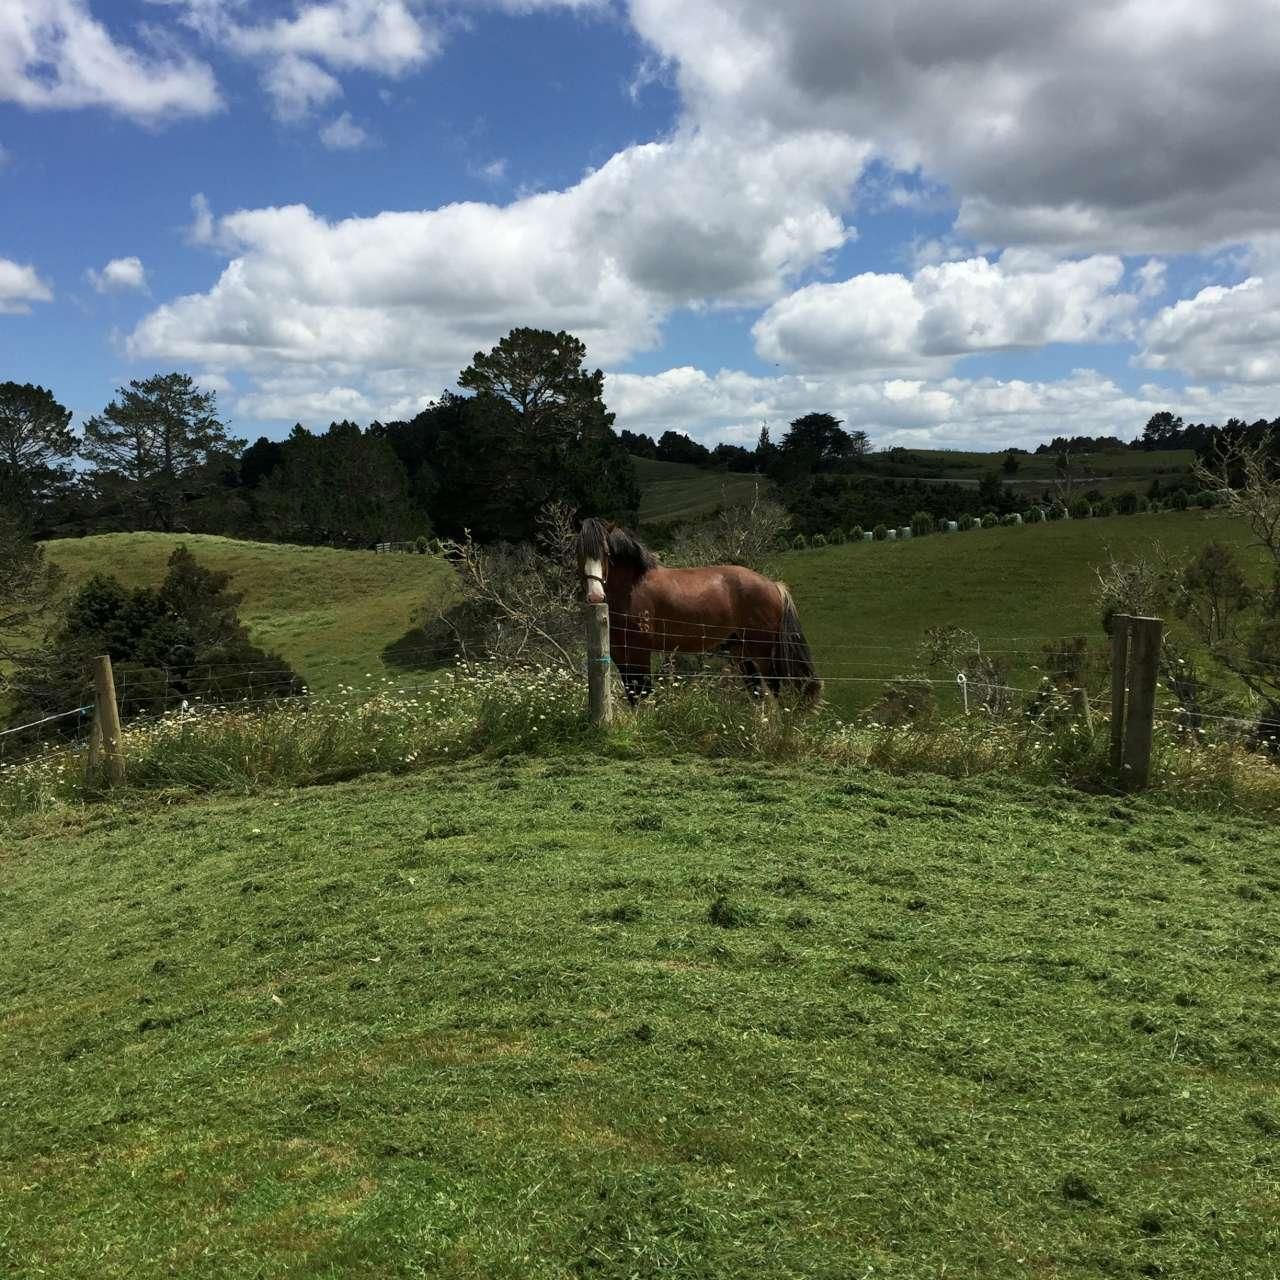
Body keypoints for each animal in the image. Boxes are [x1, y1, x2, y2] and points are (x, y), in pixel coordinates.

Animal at [578, 514, 824, 706]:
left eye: (607, 553)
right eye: (578, 553)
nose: (596, 596)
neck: (632, 587)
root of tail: (774, 585)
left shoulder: (639, 653)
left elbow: (643, 693)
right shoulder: (621, 654)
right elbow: (633, 695)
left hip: (762, 652)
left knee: (775, 690)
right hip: (742, 653)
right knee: (759, 694)